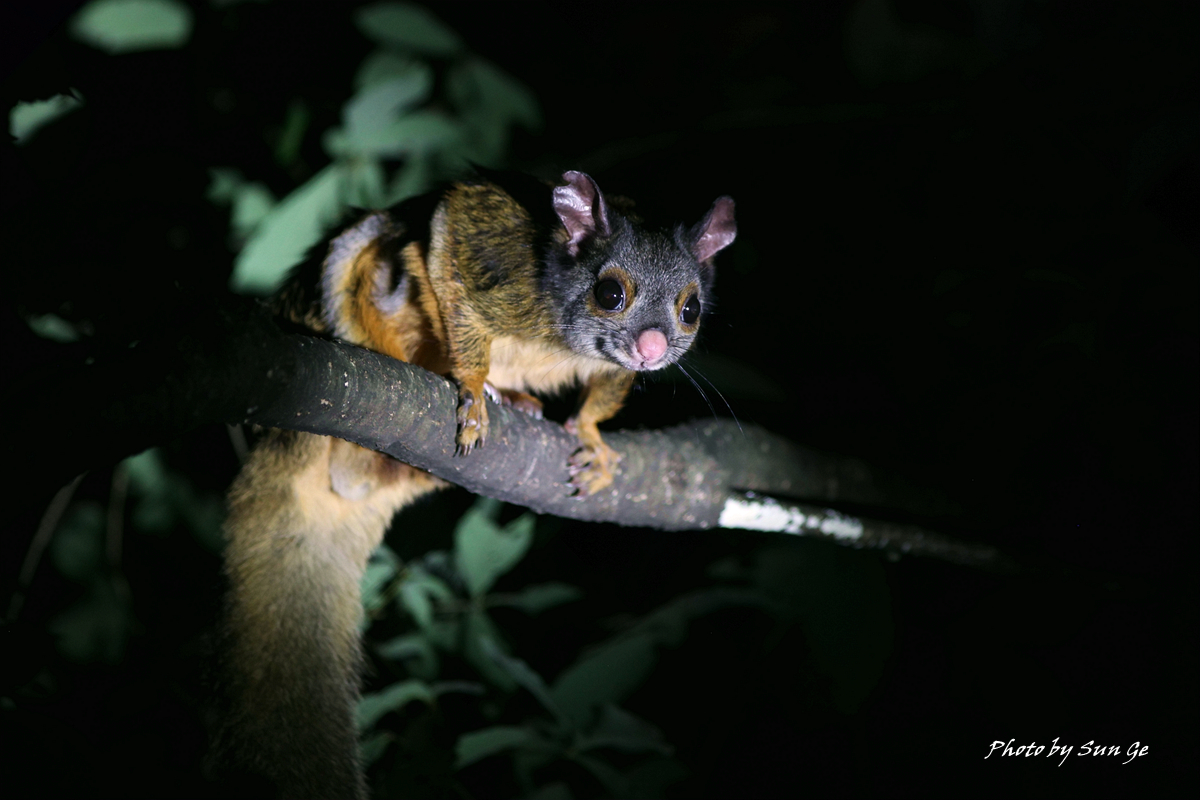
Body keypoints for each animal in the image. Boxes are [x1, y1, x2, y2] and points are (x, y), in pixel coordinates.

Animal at [214, 170, 736, 797]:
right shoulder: (497, 250)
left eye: (690, 310)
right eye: (611, 294)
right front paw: (472, 384)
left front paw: (590, 434)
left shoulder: (616, 365)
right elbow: (449, 228)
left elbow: (605, 391)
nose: (653, 348)